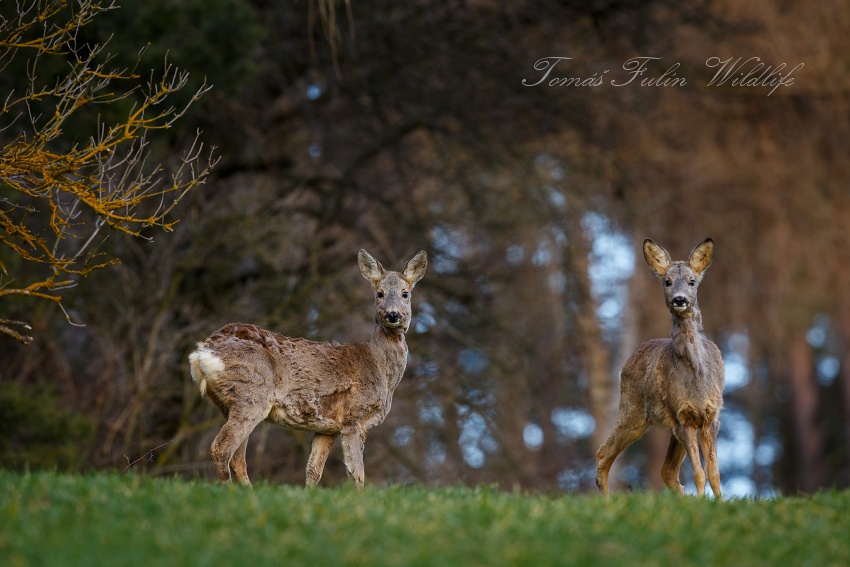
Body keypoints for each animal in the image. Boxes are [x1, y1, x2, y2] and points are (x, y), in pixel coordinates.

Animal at [188, 249, 427, 488]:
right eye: (379, 293)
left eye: (405, 293)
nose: (393, 315)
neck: (381, 369)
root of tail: (204, 351)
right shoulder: (353, 416)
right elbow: (357, 474)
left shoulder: (327, 428)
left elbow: (313, 471)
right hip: (252, 392)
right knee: (222, 448)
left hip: (232, 403)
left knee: (238, 457)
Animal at [595, 238, 724, 499]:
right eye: (667, 282)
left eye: (692, 281)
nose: (680, 299)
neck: (697, 376)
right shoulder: (683, 417)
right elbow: (700, 473)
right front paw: (705, 503)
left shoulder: (710, 417)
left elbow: (714, 473)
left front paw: (720, 503)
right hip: (633, 412)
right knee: (603, 454)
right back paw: (605, 501)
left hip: (665, 424)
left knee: (667, 471)